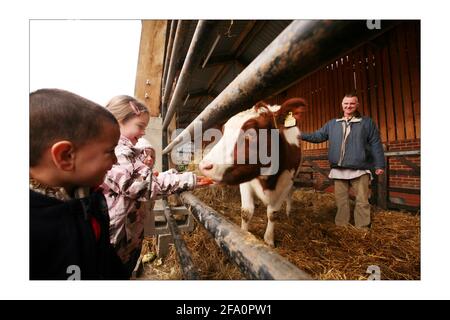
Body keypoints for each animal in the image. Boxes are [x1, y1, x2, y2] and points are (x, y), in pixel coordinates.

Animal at [200, 99, 308, 246]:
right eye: (223, 132)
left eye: (251, 134)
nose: (204, 166)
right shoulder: (246, 182)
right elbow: (246, 212)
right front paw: (244, 233)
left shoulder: (286, 183)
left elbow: (273, 213)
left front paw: (269, 240)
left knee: (290, 195)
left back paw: (288, 212)